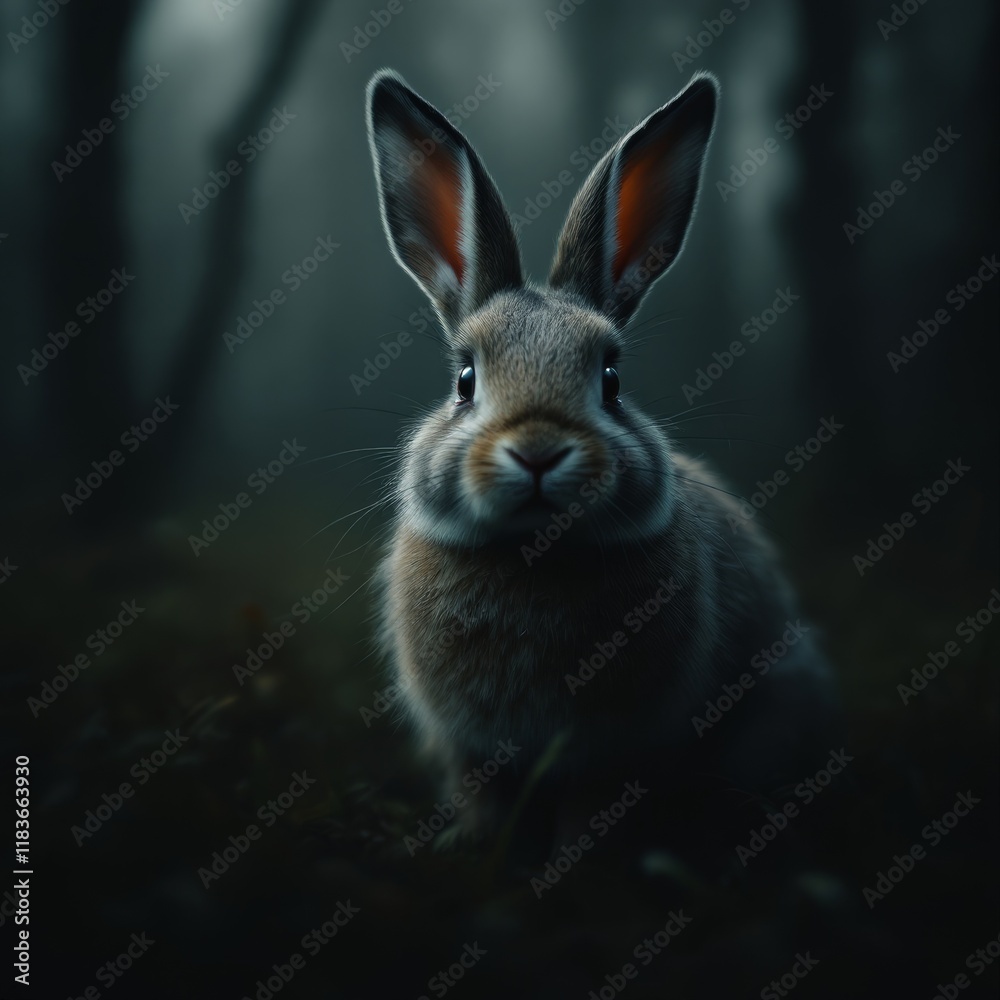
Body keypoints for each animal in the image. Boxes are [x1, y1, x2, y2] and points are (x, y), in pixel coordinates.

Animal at [365, 70, 840, 845]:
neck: (532, 557)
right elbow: (481, 795)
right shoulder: (470, 746)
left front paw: (578, 857)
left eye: (612, 379)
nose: (537, 452)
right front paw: (475, 844)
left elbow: (593, 801)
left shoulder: (614, 749)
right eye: (465, 380)